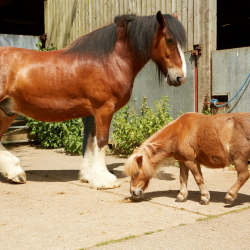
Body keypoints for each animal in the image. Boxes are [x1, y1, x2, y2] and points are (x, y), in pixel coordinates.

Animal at [0, 11, 186, 188]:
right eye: (169, 39)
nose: (180, 77)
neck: (109, 60)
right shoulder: (104, 108)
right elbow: (102, 141)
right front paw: (105, 179)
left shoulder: (93, 113)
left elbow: (91, 141)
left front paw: (89, 175)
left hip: (6, 111)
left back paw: (15, 173)